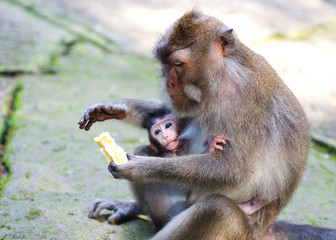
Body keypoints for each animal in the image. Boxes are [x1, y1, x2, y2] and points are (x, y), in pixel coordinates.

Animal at [79, 9, 336, 240]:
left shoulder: (246, 105)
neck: (225, 76)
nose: (169, 83)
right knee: (147, 150)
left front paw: (140, 168)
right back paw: (136, 208)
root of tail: (265, 229)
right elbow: (174, 114)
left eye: (177, 63)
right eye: (164, 63)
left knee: (217, 208)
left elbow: (234, 170)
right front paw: (115, 107)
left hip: (237, 233)